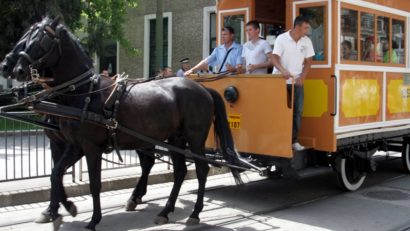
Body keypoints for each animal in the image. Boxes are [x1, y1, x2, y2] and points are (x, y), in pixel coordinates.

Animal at [12, 17, 243, 230]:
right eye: (26, 38)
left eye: (41, 40)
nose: (16, 70)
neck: (85, 92)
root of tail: (203, 89)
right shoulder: (75, 146)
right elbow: (55, 174)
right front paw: (66, 207)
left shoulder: (91, 147)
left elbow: (94, 184)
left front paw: (93, 219)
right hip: (174, 139)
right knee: (179, 172)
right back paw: (164, 211)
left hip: (194, 138)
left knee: (201, 170)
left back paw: (194, 213)